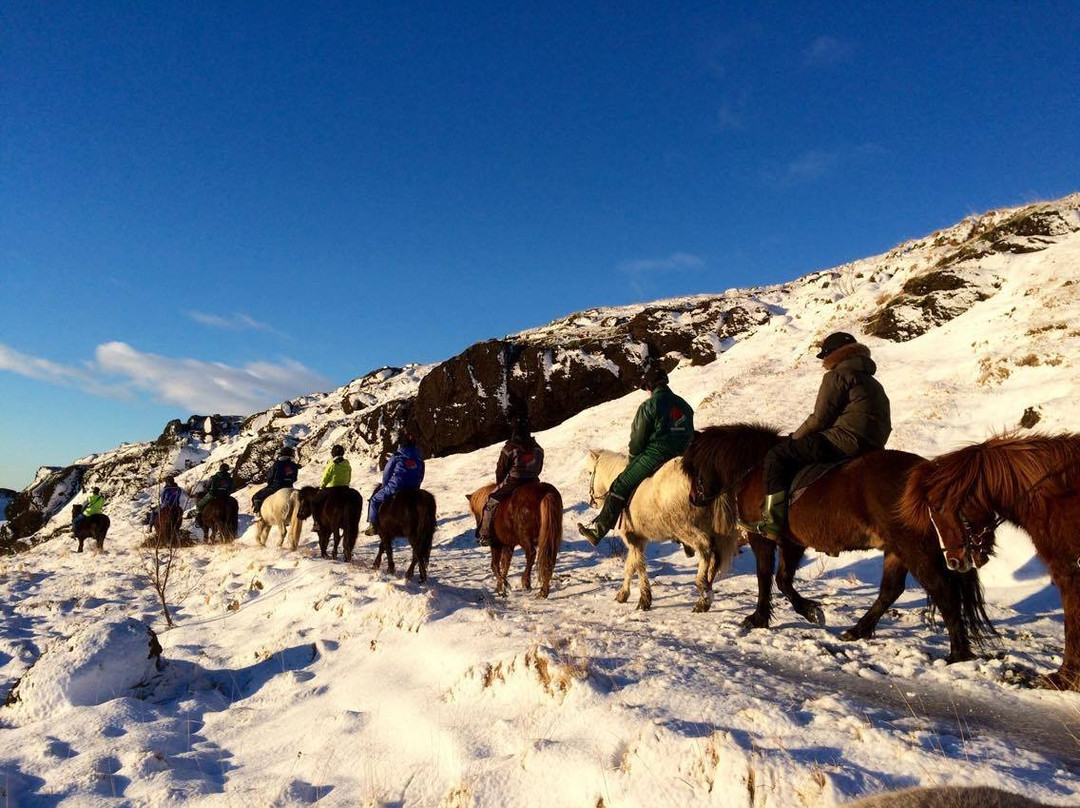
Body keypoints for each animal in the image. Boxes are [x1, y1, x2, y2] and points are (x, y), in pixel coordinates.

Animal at [587, 447, 738, 613]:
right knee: (716, 556)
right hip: (716, 531)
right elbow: (630, 566)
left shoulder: (632, 539)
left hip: (684, 527)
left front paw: (644, 599)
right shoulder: (639, 540)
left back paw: (703, 587)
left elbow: (638, 566)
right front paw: (623, 594)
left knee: (705, 547)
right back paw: (704, 597)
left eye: (590, 472)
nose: (592, 501)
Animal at [682, 423, 993, 661]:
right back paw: (858, 630)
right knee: (891, 590)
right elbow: (783, 580)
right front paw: (809, 611)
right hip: (897, 548)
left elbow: (765, 577)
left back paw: (958, 653)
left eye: (693, 467)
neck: (755, 467)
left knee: (942, 590)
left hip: (912, 547)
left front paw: (761, 617)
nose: (694, 499)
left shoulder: (764, 538)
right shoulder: (792, 543)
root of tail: (925, 474)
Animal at [898, 432, 1080, 691]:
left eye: (938, 507)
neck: (1058, 498)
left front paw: (1065, 677)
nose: (952, 561)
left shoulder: (1068, 571)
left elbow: (1072, 622)